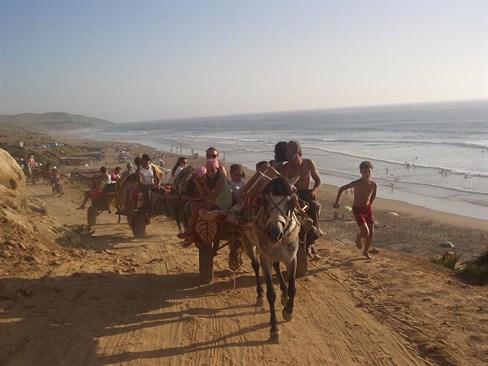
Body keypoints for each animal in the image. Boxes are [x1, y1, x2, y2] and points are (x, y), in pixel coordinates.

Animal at [239, 177, 300, 344]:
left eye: (291, 202)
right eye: (265, 200)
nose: (274, 233)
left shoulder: (292, 258)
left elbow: (293, 288)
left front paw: (289, 310)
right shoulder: (265, 258)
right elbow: (271, 293)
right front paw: (274, 328)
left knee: (277, 265)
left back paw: (284, 294)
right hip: (249, 242)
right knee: (255, 265)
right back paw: (259, 294)